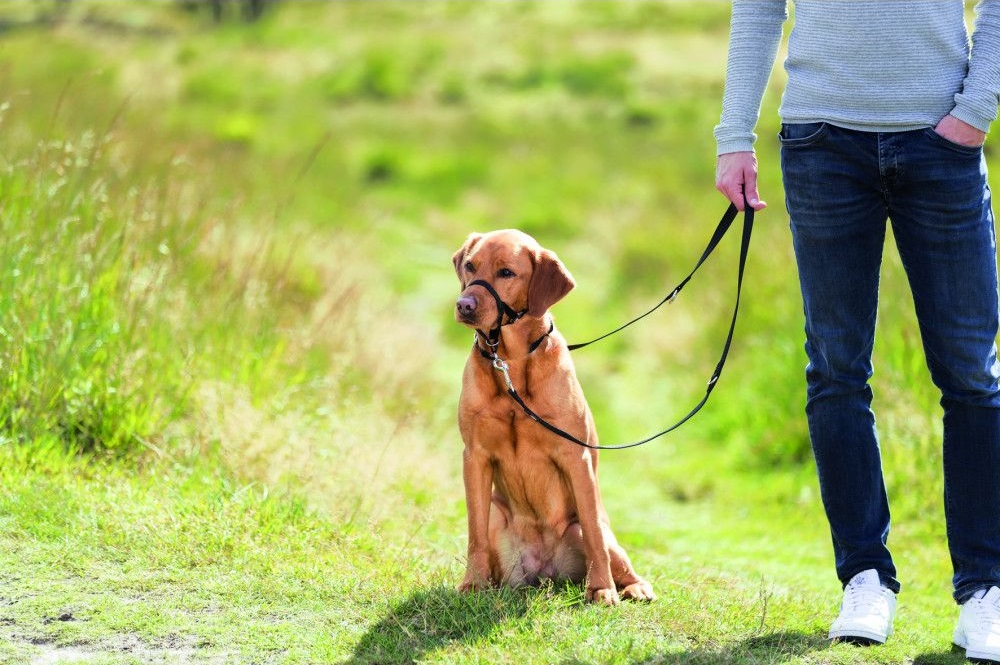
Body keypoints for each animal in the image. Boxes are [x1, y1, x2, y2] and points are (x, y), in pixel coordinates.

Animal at [450, 230, 652, 608]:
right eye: (470, 265)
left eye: (506, 273)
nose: (464, 305)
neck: (511, 362)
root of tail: (546, 573)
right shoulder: (475, 456)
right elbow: (474, 533)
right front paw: (473, 584)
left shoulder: (576, 457)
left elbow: (593, 534)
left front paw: (601, 589)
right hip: (499, 516)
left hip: (596, 530)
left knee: (609, 549)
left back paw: (633, 586)